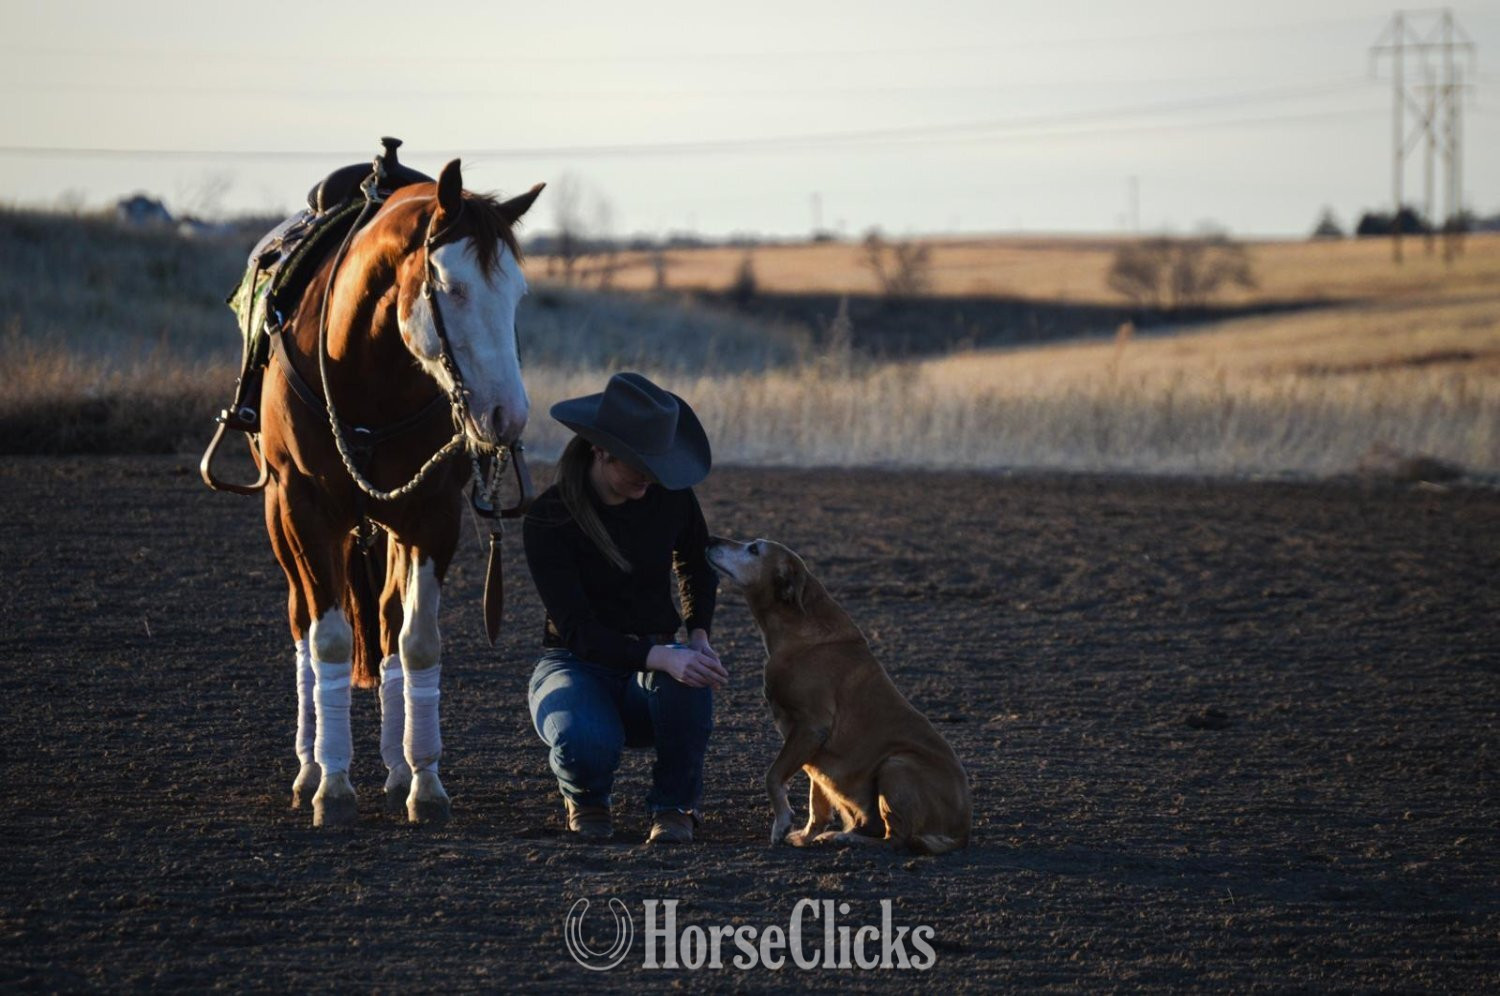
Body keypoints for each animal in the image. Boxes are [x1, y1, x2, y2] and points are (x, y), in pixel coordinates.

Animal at [258, 158, 542, 827]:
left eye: (517, 295)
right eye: (454, 288)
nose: (508, 416)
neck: (364, 373)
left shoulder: (431, 516)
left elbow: (416, 645)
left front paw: (424, 783)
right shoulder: (306, 510)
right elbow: (329, 641)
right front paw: (333, 786)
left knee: (386, 623)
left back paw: (392, 770)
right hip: (281, 518)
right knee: (302, 624)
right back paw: (308, 768)